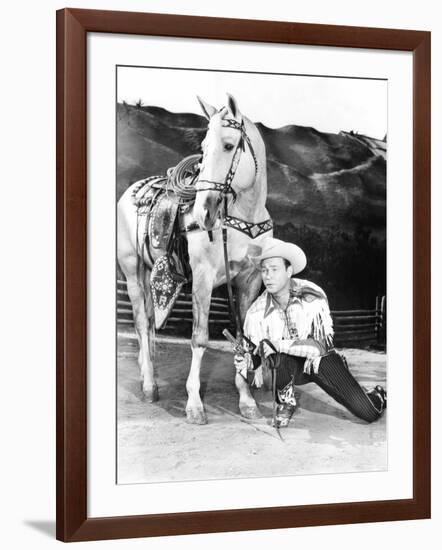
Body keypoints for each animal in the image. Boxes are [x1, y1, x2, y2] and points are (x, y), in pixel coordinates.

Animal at [118, 92, 272, 424]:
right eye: (203, 147)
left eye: (228, 145)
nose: (204, 212)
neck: (241, 219)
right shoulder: (202, 277)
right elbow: (199, 338)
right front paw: (194, 404)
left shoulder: (249, 281)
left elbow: (243, 337)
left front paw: (247, 401)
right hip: (131, 271)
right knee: (140, 323)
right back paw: (148, 386)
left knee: (147, 322)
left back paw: (147, 373)